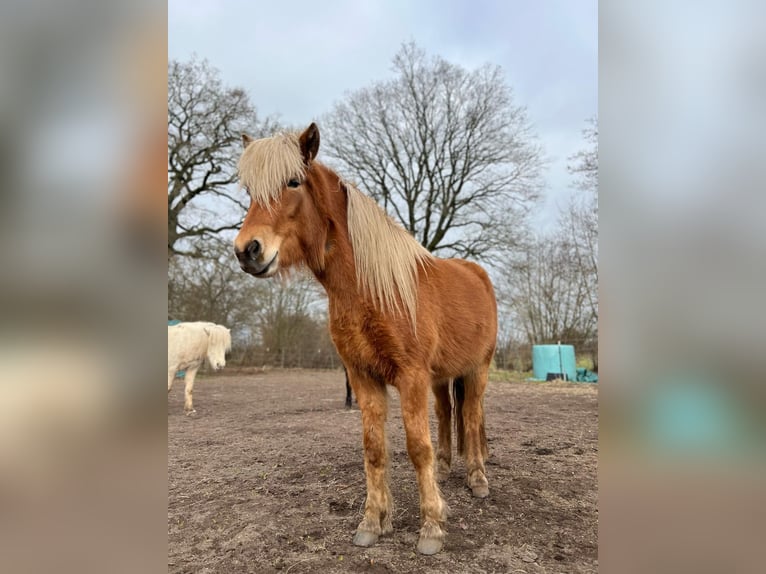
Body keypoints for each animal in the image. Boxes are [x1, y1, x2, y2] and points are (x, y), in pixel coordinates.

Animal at [234, 123, 497, 555]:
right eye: (249, 191)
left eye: (293, 182)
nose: (247, 251)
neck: (372, 289)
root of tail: (477, 274)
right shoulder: (363, 377)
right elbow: (374, 450)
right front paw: (373, 522)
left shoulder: (410, 377)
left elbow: (417, 448)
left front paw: (431, 528)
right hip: (442, 378)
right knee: (447, 414)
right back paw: (446, 468)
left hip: (478, 370)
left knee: (472, 418)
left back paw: (477, 479)